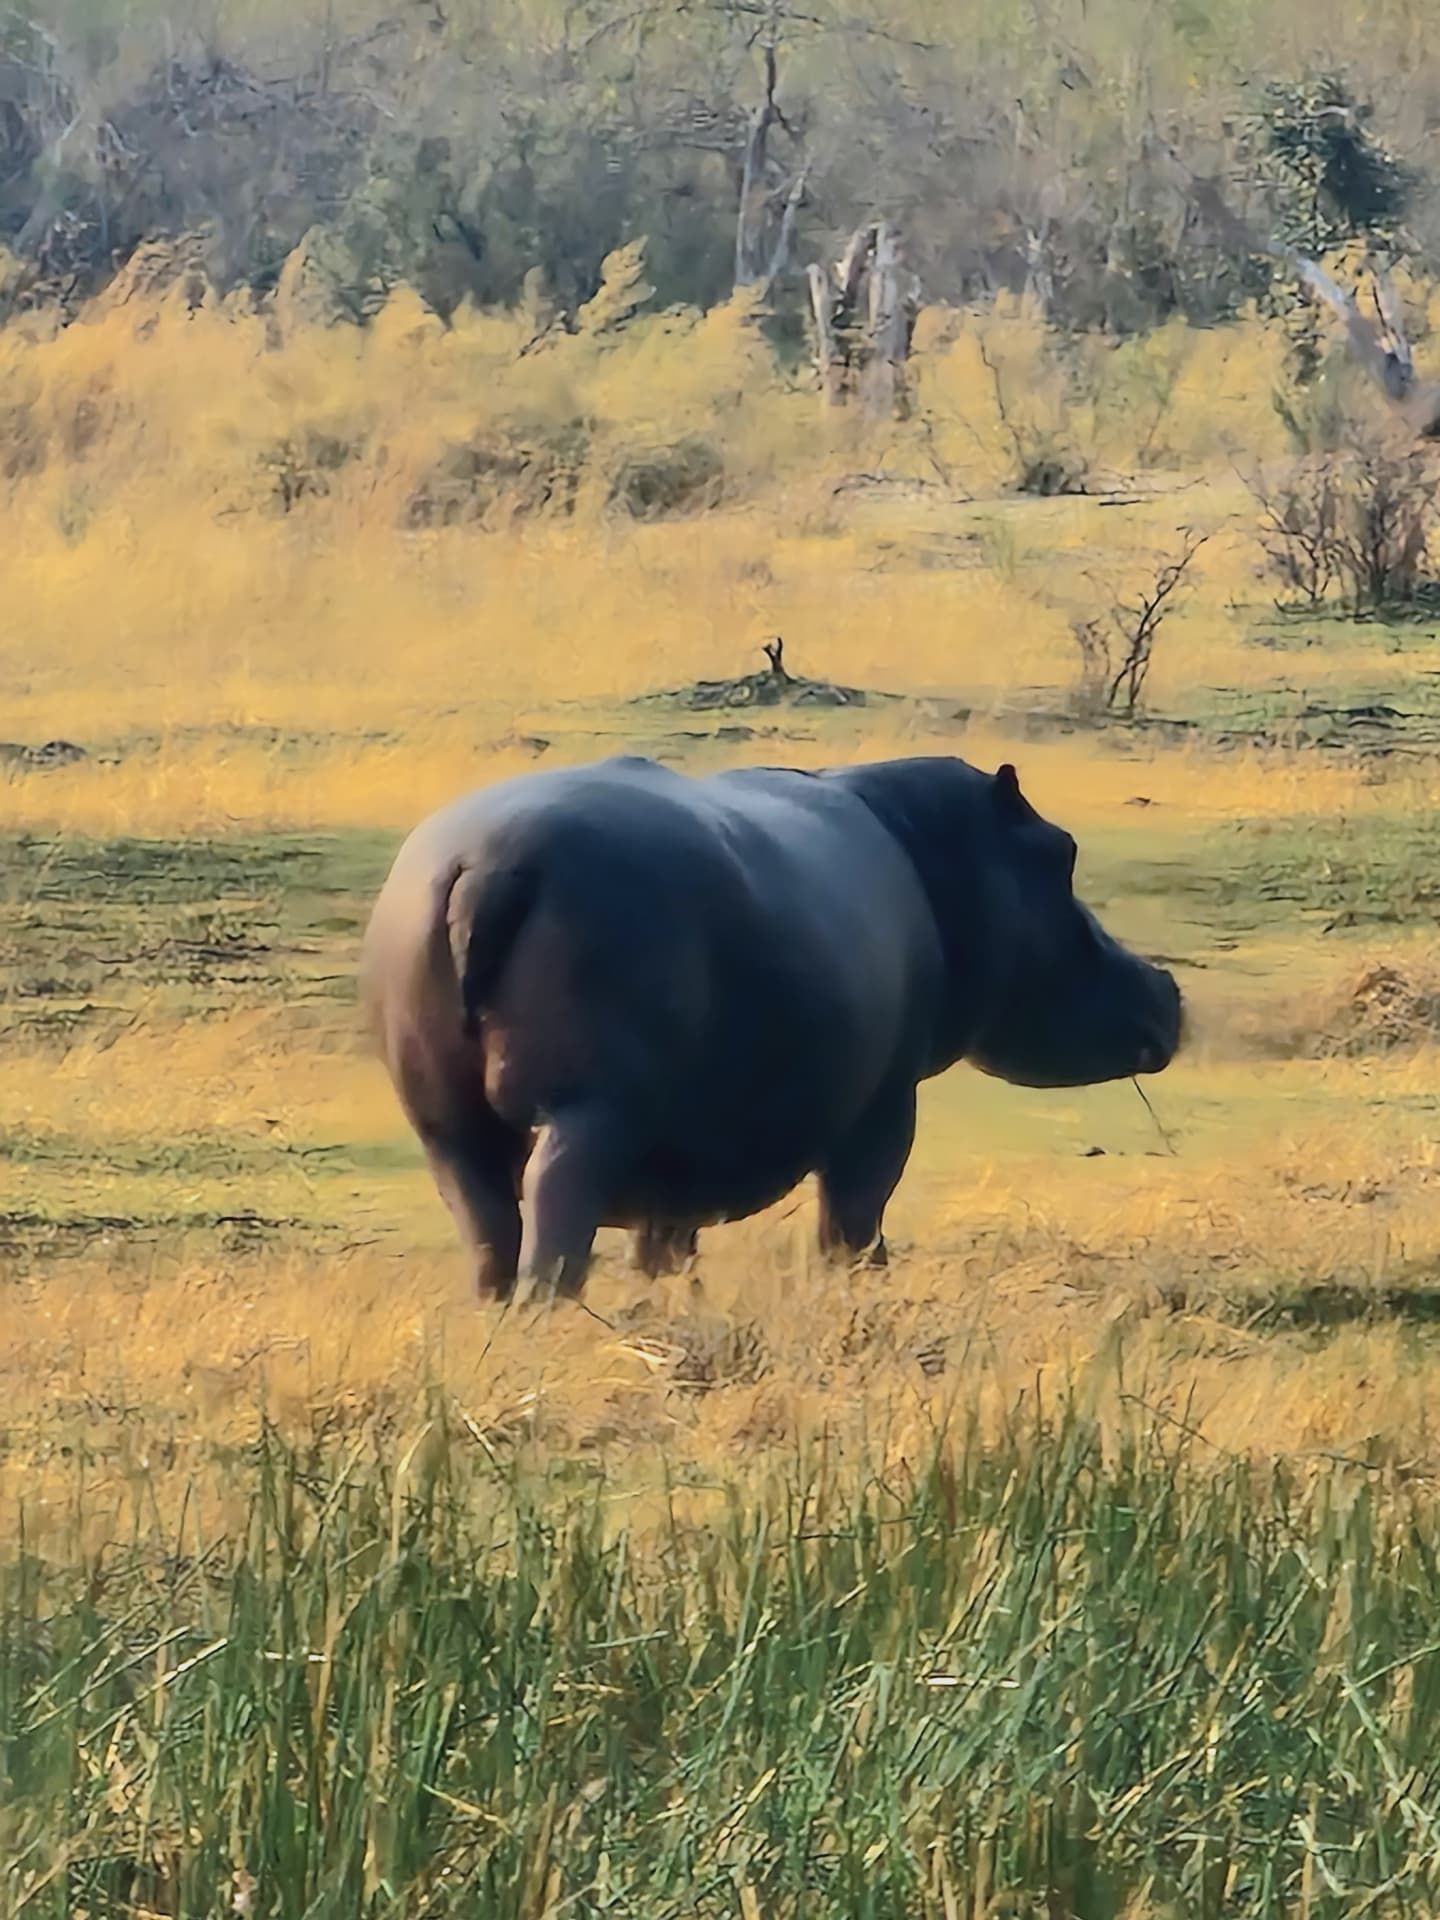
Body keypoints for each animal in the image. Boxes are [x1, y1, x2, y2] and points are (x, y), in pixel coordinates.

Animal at [361, 754, 1182, 1302]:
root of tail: (485, 868)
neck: (939, 854)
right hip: (590, 1111)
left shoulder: (680, 1154)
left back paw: (498, 1308)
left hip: (447, 1125)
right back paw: (551, 1308)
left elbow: (667, 1241)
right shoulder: (885, 1103)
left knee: (487, 1224)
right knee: (556, 1205)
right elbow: (856, 1210)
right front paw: (864, 1285)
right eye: (1061, 852)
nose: (1166, 986)